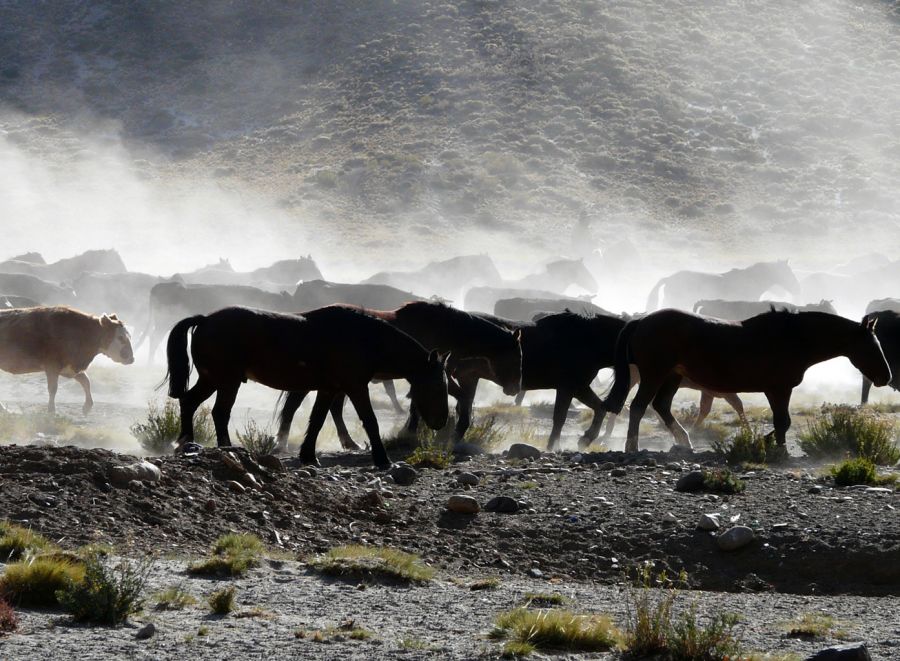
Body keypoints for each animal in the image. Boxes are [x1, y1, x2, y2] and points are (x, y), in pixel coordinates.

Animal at [0, 306, 135, 412]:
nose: (132, 359)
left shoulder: (70, 368)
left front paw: (87, 406)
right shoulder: (52, 366)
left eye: (129, 336)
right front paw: (51, 410)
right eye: (121, 337)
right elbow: (53, 388)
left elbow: (86, 381)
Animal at [164, 306, 446, 466]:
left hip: (212, 380)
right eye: (437, 386)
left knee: (189, 402)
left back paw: (186, 442)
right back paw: (226, 448)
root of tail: (205, 320)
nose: (440, 423)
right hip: (226, 381)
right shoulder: (355, 387)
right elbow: (370, 421)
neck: (364, 337)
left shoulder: (329, 389)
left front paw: (309, 456)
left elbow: (317, 420)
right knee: (219, 412)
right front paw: (382, 459)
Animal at [278, 302, 524, 452]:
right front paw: (414, 432)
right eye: (517, 357)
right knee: (294, 406)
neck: (445, 330)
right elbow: (427, 402)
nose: (515, 388)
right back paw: (282, 442)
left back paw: (349, 443)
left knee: (334, 409)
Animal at [600, 306, 888, 452]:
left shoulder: (778, 391)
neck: (793, 338)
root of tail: (640, 320)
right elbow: (782, 422)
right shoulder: (778, 390)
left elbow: (782, 423)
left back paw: (684, 441)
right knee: (638, 407)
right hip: (655, 375)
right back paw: (632, 446)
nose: (886, 377)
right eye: (872, 347)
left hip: (672, 376)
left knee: (661, 406)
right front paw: (776, 448)